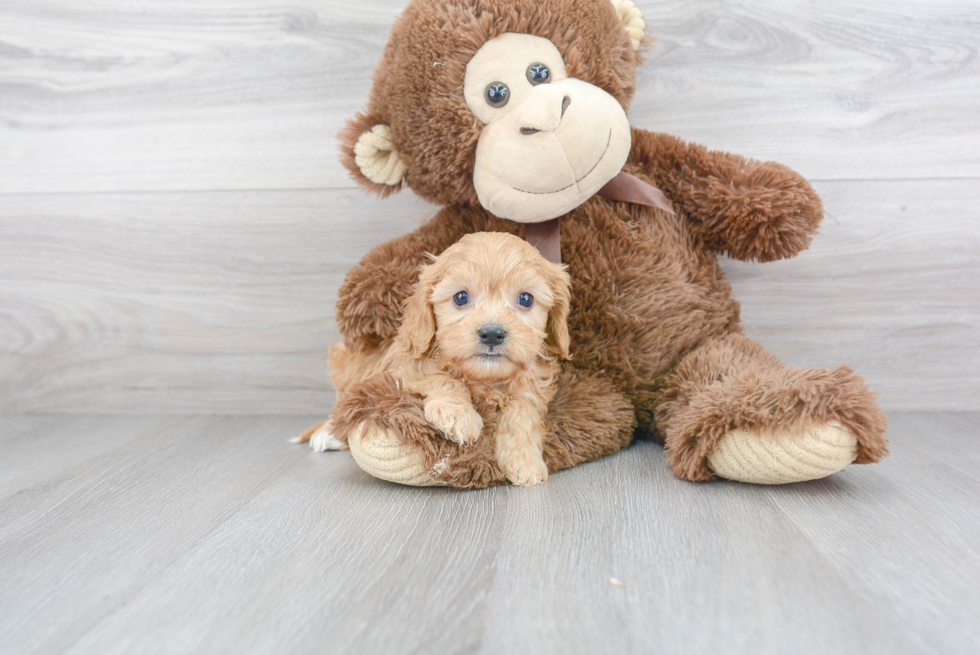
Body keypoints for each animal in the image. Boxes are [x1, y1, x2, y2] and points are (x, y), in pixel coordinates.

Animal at [390, 233, 572, 484]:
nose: (492, 333)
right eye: (460, 297)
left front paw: (524, 458)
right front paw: (457, 415)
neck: (485, 379)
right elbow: (439, 377)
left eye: (526, 299)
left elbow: (522, 409)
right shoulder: (402, 367)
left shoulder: (531, 382)